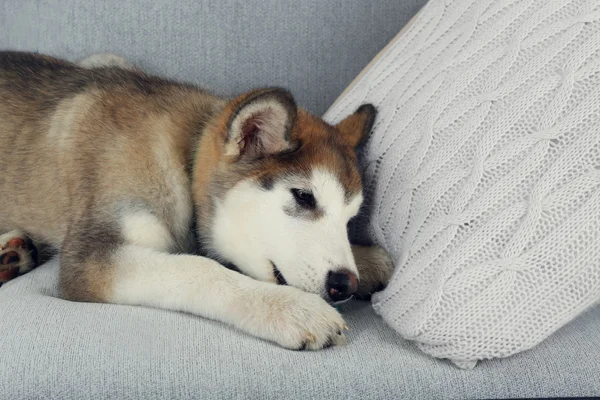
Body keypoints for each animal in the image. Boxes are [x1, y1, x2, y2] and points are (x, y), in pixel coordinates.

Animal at [0, 52, 394, 350]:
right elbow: (198, 268)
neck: (185, 157)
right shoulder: (90, 258)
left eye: (350, 218)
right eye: (303, 196)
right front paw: (291, 308)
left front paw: (369, 259)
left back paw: (13, 254)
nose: (345, 284)